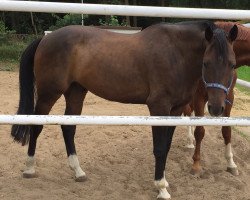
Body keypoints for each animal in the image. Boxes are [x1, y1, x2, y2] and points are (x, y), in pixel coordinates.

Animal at [11, 21, 237, 199]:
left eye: (233, 65)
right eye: (206, 63)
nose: (217, 108)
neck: (176, 54)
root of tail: (46, 39)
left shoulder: (175, 110)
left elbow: (166, 147)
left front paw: (164, 183)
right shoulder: (158, 107)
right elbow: (159, 148)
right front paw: (161, 187)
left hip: (75, 92)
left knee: (68, 128)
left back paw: (78, 171)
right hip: (49, 93)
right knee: (36, 125)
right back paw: (29, 168)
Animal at [184, 21, 250, 177]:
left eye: (232, 64)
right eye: (205, 63)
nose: (215, 109)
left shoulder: (228, 98)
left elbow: (227, 131)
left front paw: (231, 163)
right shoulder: (199, 98)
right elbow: (200, 131)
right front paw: (196, 165)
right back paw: (189, 141)